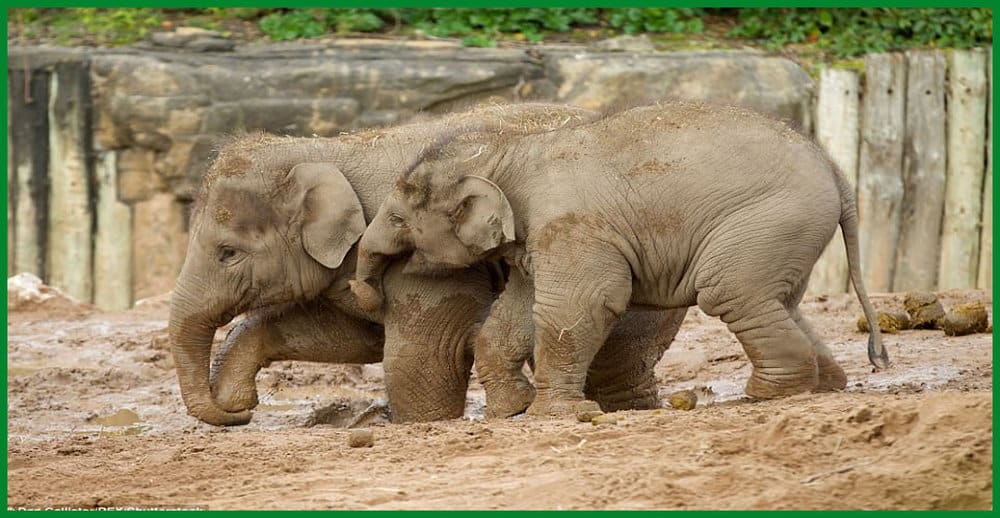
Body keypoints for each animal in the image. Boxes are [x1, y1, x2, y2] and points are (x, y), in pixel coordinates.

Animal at [169, 101, 686, 426]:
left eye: (228, 253)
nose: (239, 415)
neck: (329, 149)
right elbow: (355, 337)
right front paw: (236, 392)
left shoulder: (431, 257)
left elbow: (423, 353)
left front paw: (417, 424)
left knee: (613, 356)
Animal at [352, 100, 891, 417]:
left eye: (397, 218)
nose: (366, 295)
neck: (509, 149)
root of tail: (836, 171)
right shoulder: (541, 235)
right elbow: (519, 312)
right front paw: (514, 411)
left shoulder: (570, 225)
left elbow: (578, 306)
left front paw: (554, 415)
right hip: (783, 232)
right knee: (782, 300)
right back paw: (822, 386)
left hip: (770, 219)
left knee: (730, 292)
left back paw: (766, 395)